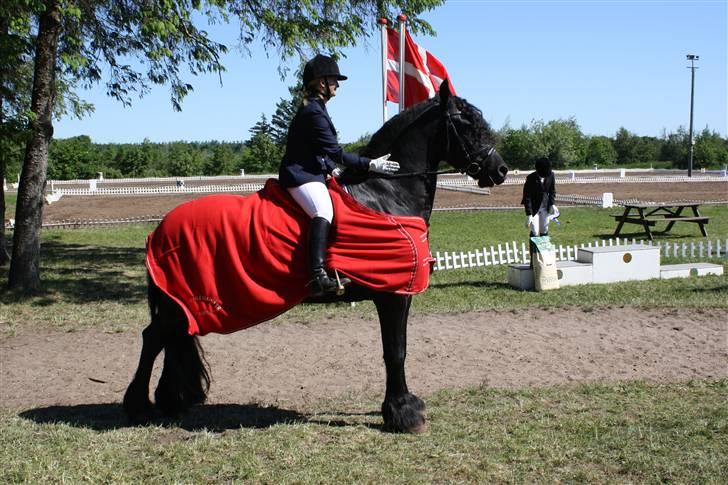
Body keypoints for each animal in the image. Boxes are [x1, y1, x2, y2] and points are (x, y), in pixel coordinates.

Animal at [123, 81, 506, 432]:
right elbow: (395, 351)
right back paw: (138, 406)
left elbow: (395, 351)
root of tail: (160, 229)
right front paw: (403, 413)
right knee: (153, 339)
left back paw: (170, 402)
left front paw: (400, 408)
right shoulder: (393, 295)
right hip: (178, 303)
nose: (500, 171)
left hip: (179, 303)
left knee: (169, 339)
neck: (386, 196)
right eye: (468, 123)